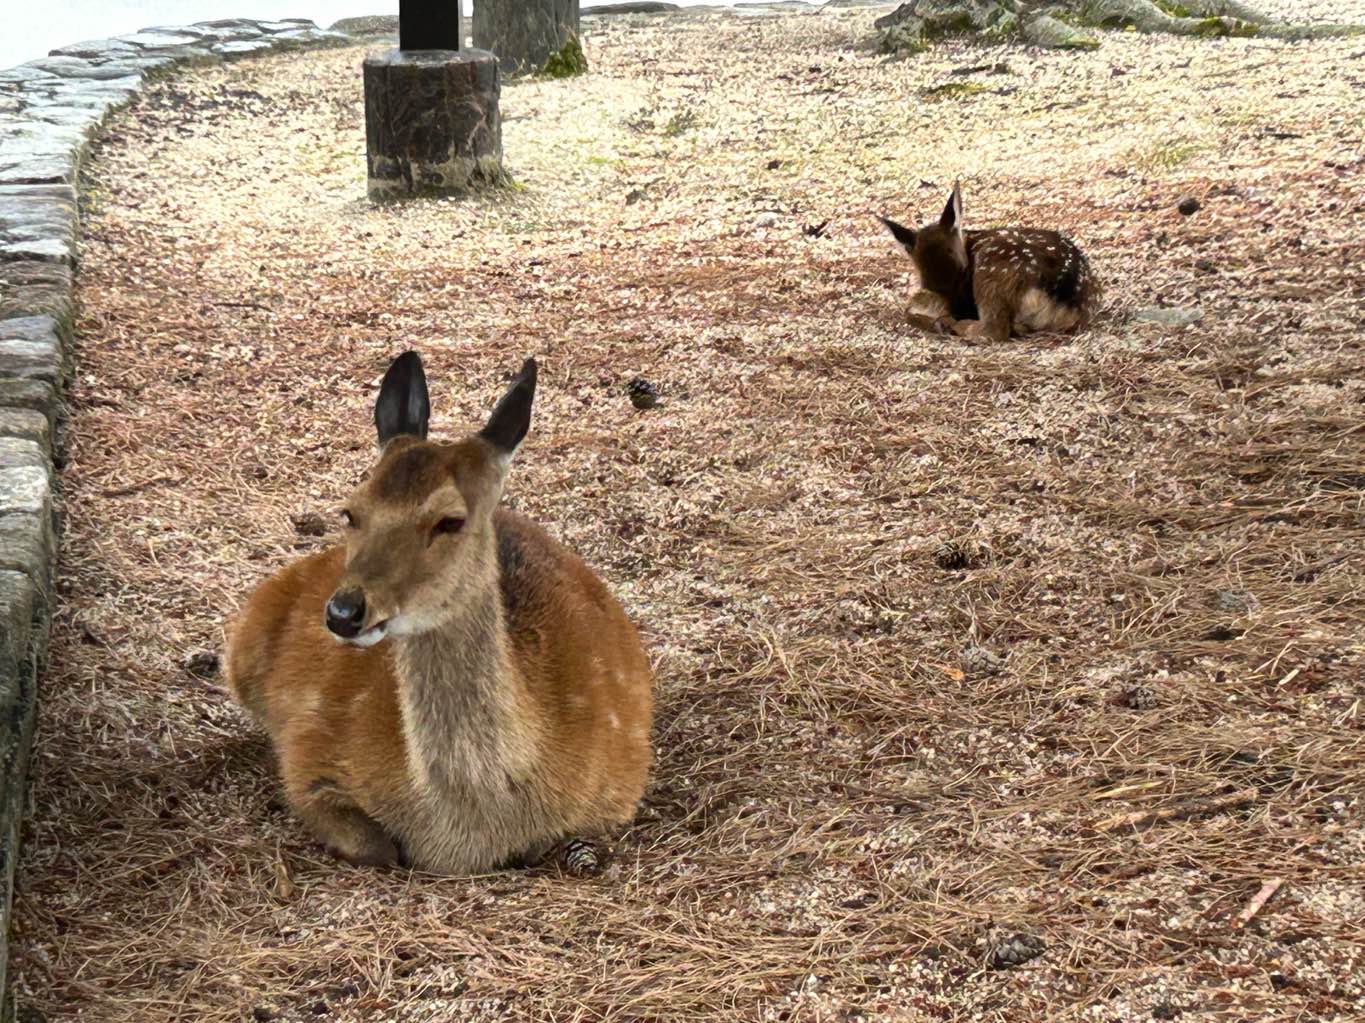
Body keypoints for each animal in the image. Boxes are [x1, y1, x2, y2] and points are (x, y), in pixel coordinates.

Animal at [225, 352, 654, 875]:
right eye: (351, 511)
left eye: (450, 520)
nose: (344, 612)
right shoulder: (309, 755)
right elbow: (378, 847)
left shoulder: (618, 791)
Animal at [878, 182, 1098, 343]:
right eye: (927, 282)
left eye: (964, 270)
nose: (962, 310)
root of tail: (1062, 294)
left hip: (991, 268)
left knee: (994, 330)